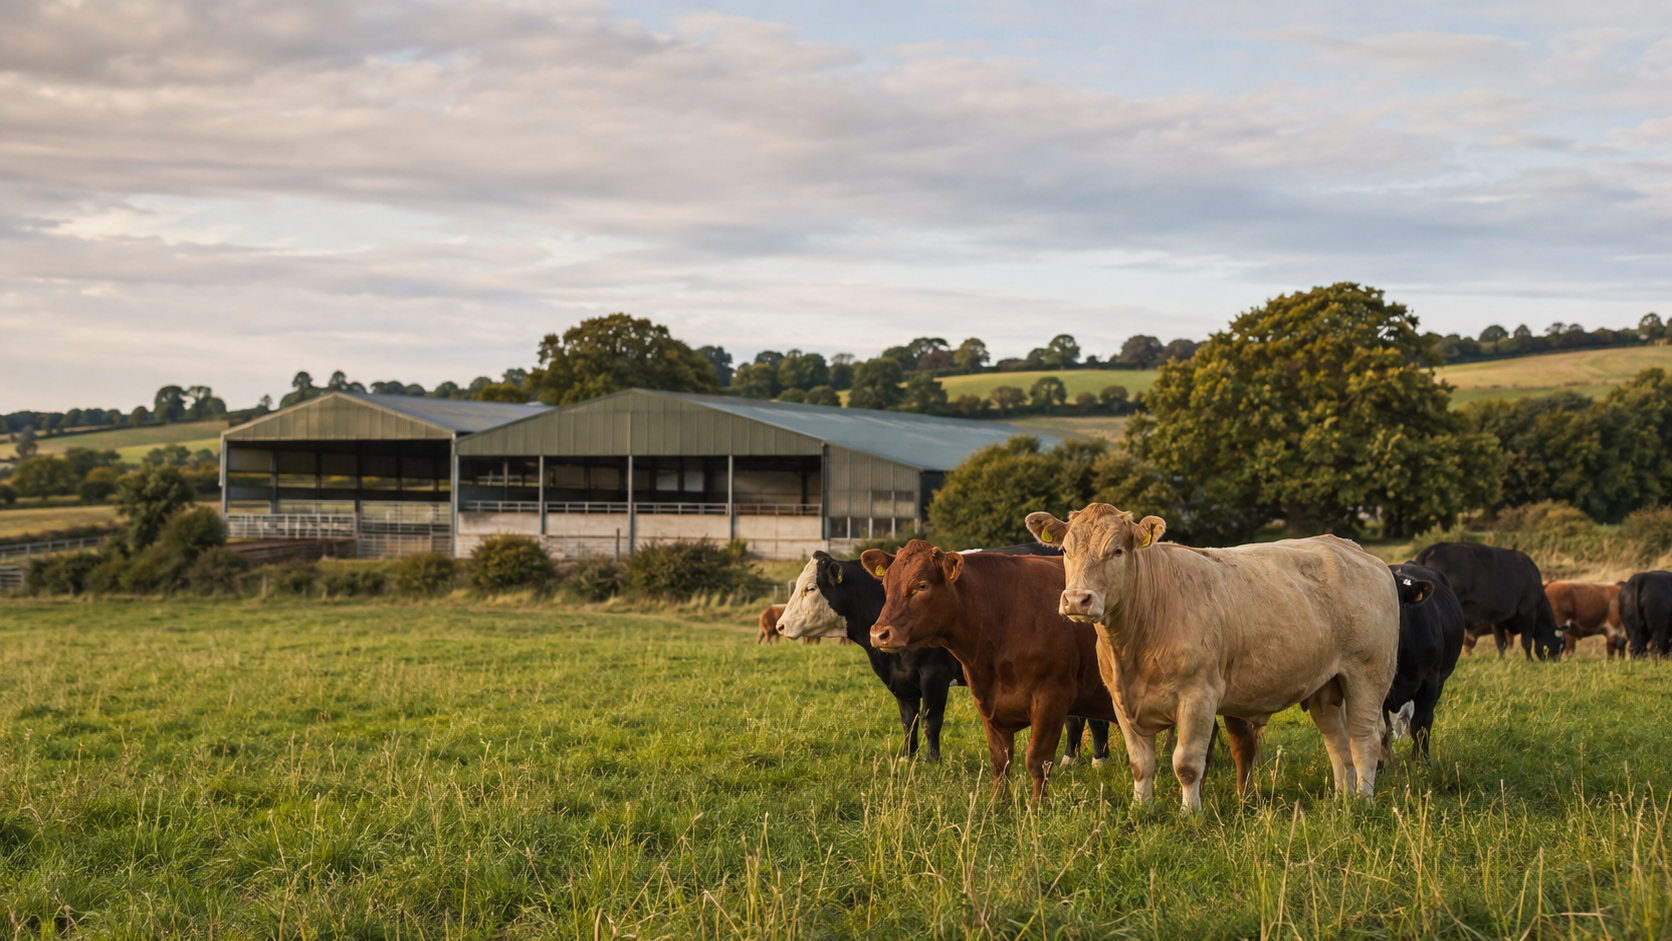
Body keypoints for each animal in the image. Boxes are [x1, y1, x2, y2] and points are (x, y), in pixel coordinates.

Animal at [859, 540, 1121, 801]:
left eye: (922, 585)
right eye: (886, 584)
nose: (879, 634)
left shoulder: (1052, 698)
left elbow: (1038, 761)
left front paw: (1037, 807)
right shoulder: (986, 699)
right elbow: (1000, 761)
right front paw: (998, 803)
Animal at [1025, 505, 1399, 811]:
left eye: (1117, 551)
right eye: (1065, 550)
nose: (1077, 599)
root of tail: (1347, 546)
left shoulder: (1198, 697)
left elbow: (1187, 764)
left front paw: (1190, 813)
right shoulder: (1122, 701)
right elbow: (1140, 763)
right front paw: (1141, 808)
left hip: (1368, 674)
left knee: (1364, 738)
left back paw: (1362, 802)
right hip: (1326, 687)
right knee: (1337, 742)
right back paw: (1341, 799)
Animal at [1413, 542, 1560, 660]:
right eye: (1561, 643)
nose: (1556, 660)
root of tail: (1432, 549)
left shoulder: (1498, 618)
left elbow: (1501, 642)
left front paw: (1501, 660)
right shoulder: (1528, 613)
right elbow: (1526, 642)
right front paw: (1530, 660)